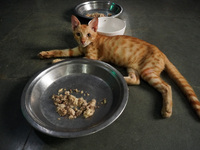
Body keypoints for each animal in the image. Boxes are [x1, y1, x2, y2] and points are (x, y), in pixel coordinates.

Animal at [38, 15, 199, 118]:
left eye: (88, 34)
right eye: (78, 34)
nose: (83, 40)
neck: (87, 45)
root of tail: (161, 51)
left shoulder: (91, 57)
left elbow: (73, 59)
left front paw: (57, 61)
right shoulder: (76, 49)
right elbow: (61, 51)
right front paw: (47, 54)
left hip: (148, 71)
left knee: (166, 86)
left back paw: (167, 109)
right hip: (133, 67)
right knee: (136, 80)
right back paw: (118, 75)